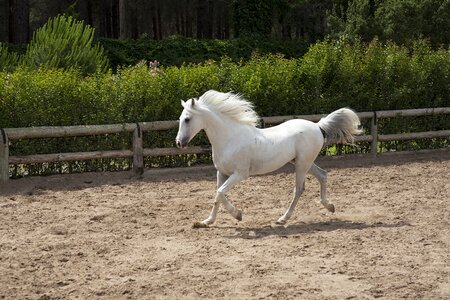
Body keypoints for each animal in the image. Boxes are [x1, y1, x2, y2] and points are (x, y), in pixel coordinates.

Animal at [176, 89, 362, 227]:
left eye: (187, 119)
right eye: (180, 119)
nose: (179, 143)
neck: (230, 138)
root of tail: (317, 126)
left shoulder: (240, 174)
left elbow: (220, 193)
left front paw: (238, 215)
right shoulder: (221, 173)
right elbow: (218, 195)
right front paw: (206, 222)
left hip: (302, 164)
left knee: (299, 189)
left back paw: (283, 218)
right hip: (304, 162)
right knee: (323, 175)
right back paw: (329, 207)